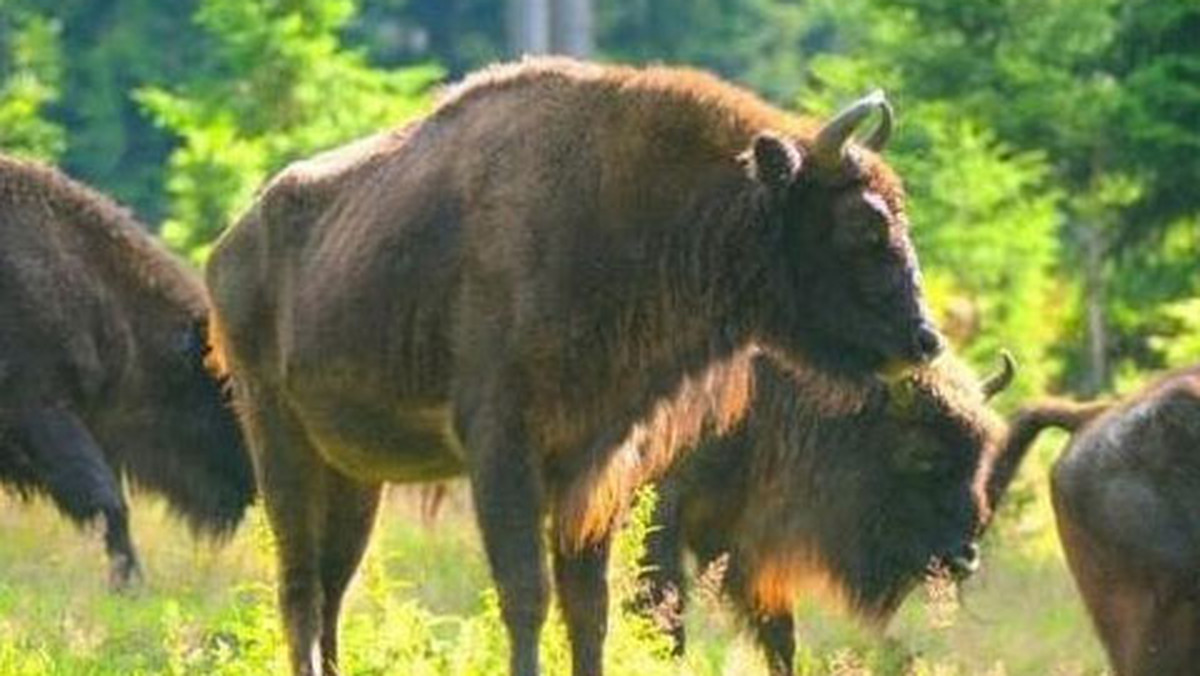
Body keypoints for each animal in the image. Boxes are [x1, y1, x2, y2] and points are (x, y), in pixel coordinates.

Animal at [638, 353, 1022, 672]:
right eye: (923, 455)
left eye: (981, 460)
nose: (963, 559)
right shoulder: (665, 514)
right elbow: (666, 611)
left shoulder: (737, 537)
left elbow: (780, 634)